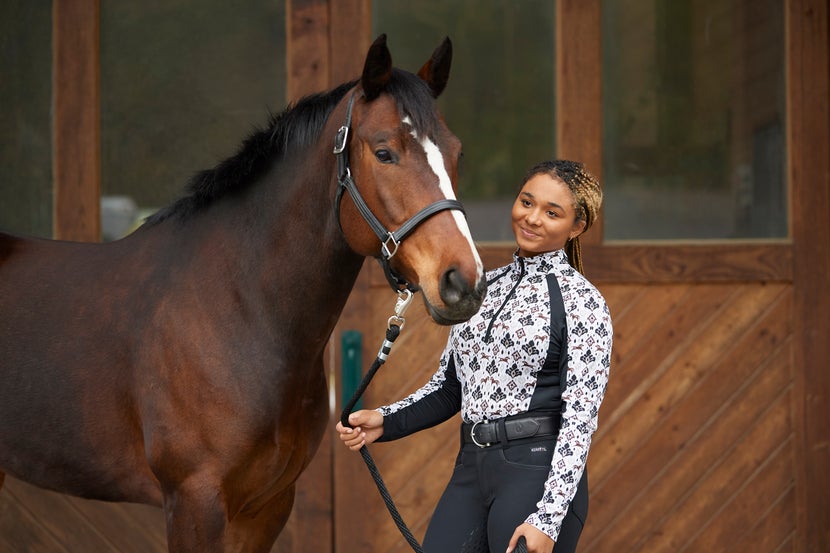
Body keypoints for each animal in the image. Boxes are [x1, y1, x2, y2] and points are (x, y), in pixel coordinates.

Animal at [0, 35, 488, 552]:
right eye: (383, 152)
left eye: (456, 153)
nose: (463, 281)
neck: (238, 308)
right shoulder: (194, 502)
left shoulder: (265, 507)